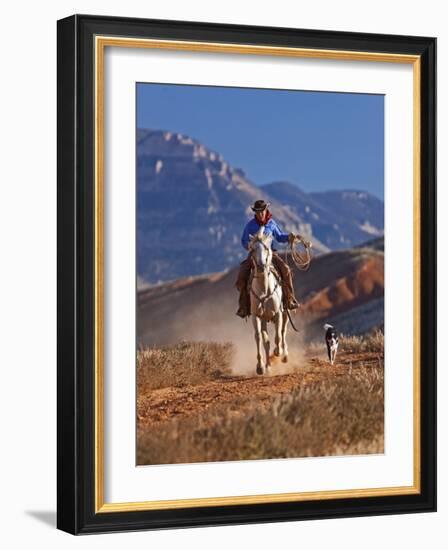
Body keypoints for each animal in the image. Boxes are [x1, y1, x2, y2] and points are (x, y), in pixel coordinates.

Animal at [247, 226, 288, 378]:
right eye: (252, 249)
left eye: (266, 247)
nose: (261, 266)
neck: (264, 290)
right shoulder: (256, 316)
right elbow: (259, 338)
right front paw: (260, 367)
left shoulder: (278, 314)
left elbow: (278, 336)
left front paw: (278, 352)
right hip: (265, 319)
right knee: (266, 341)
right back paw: (268, 366)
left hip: (286, 313)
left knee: (283, 332)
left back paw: (284, 355)